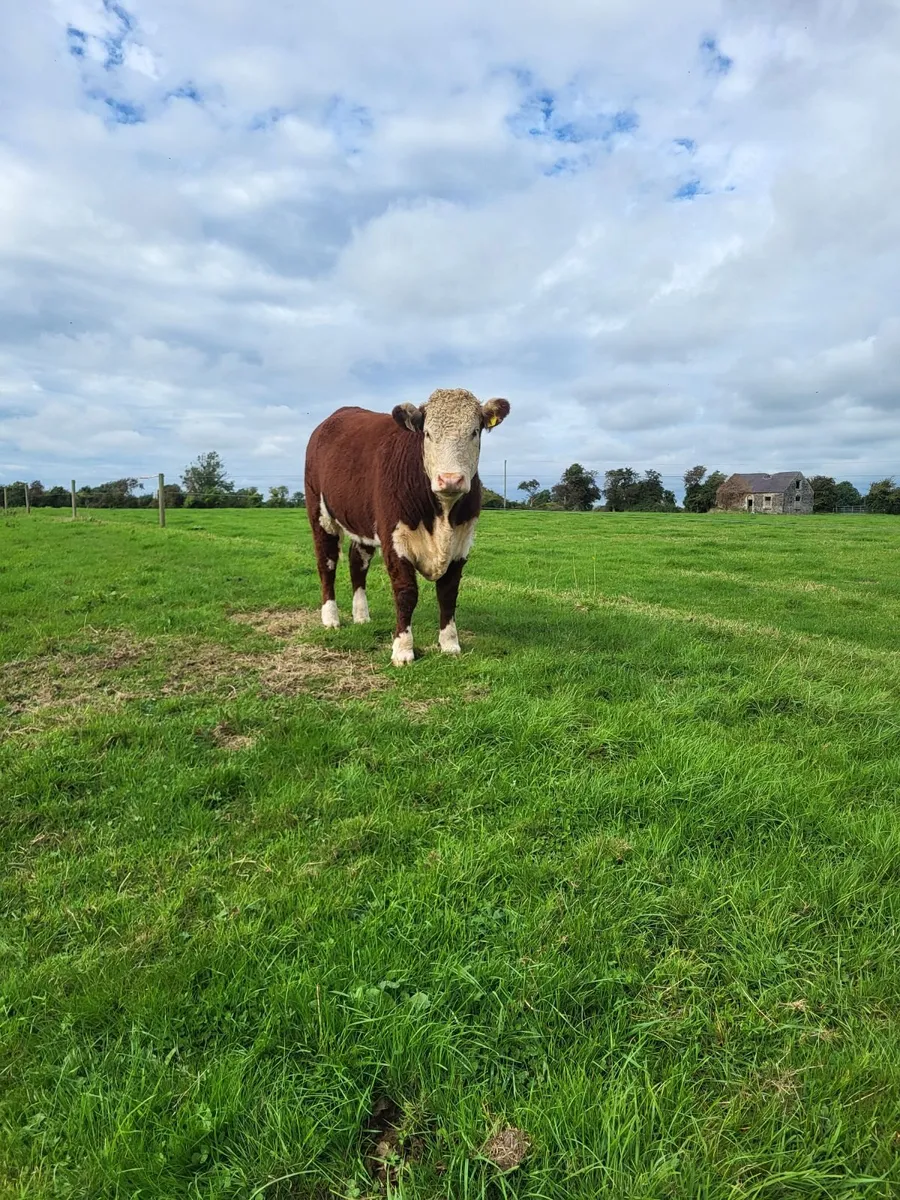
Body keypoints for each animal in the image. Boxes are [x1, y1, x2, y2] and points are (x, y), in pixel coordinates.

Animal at [304, 387, 511, 666]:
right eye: (428, 433)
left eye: (474, 431)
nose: (450, 479)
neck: (442, 516)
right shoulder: (394, 539)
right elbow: (406, 593)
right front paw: (402, 649)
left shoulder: (462, 541)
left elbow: (448, 593)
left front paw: (450, 644)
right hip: (320, 513)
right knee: (326, 563)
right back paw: (331, 618)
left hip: (361, 522)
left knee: (358, 562)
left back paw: (361, 616)